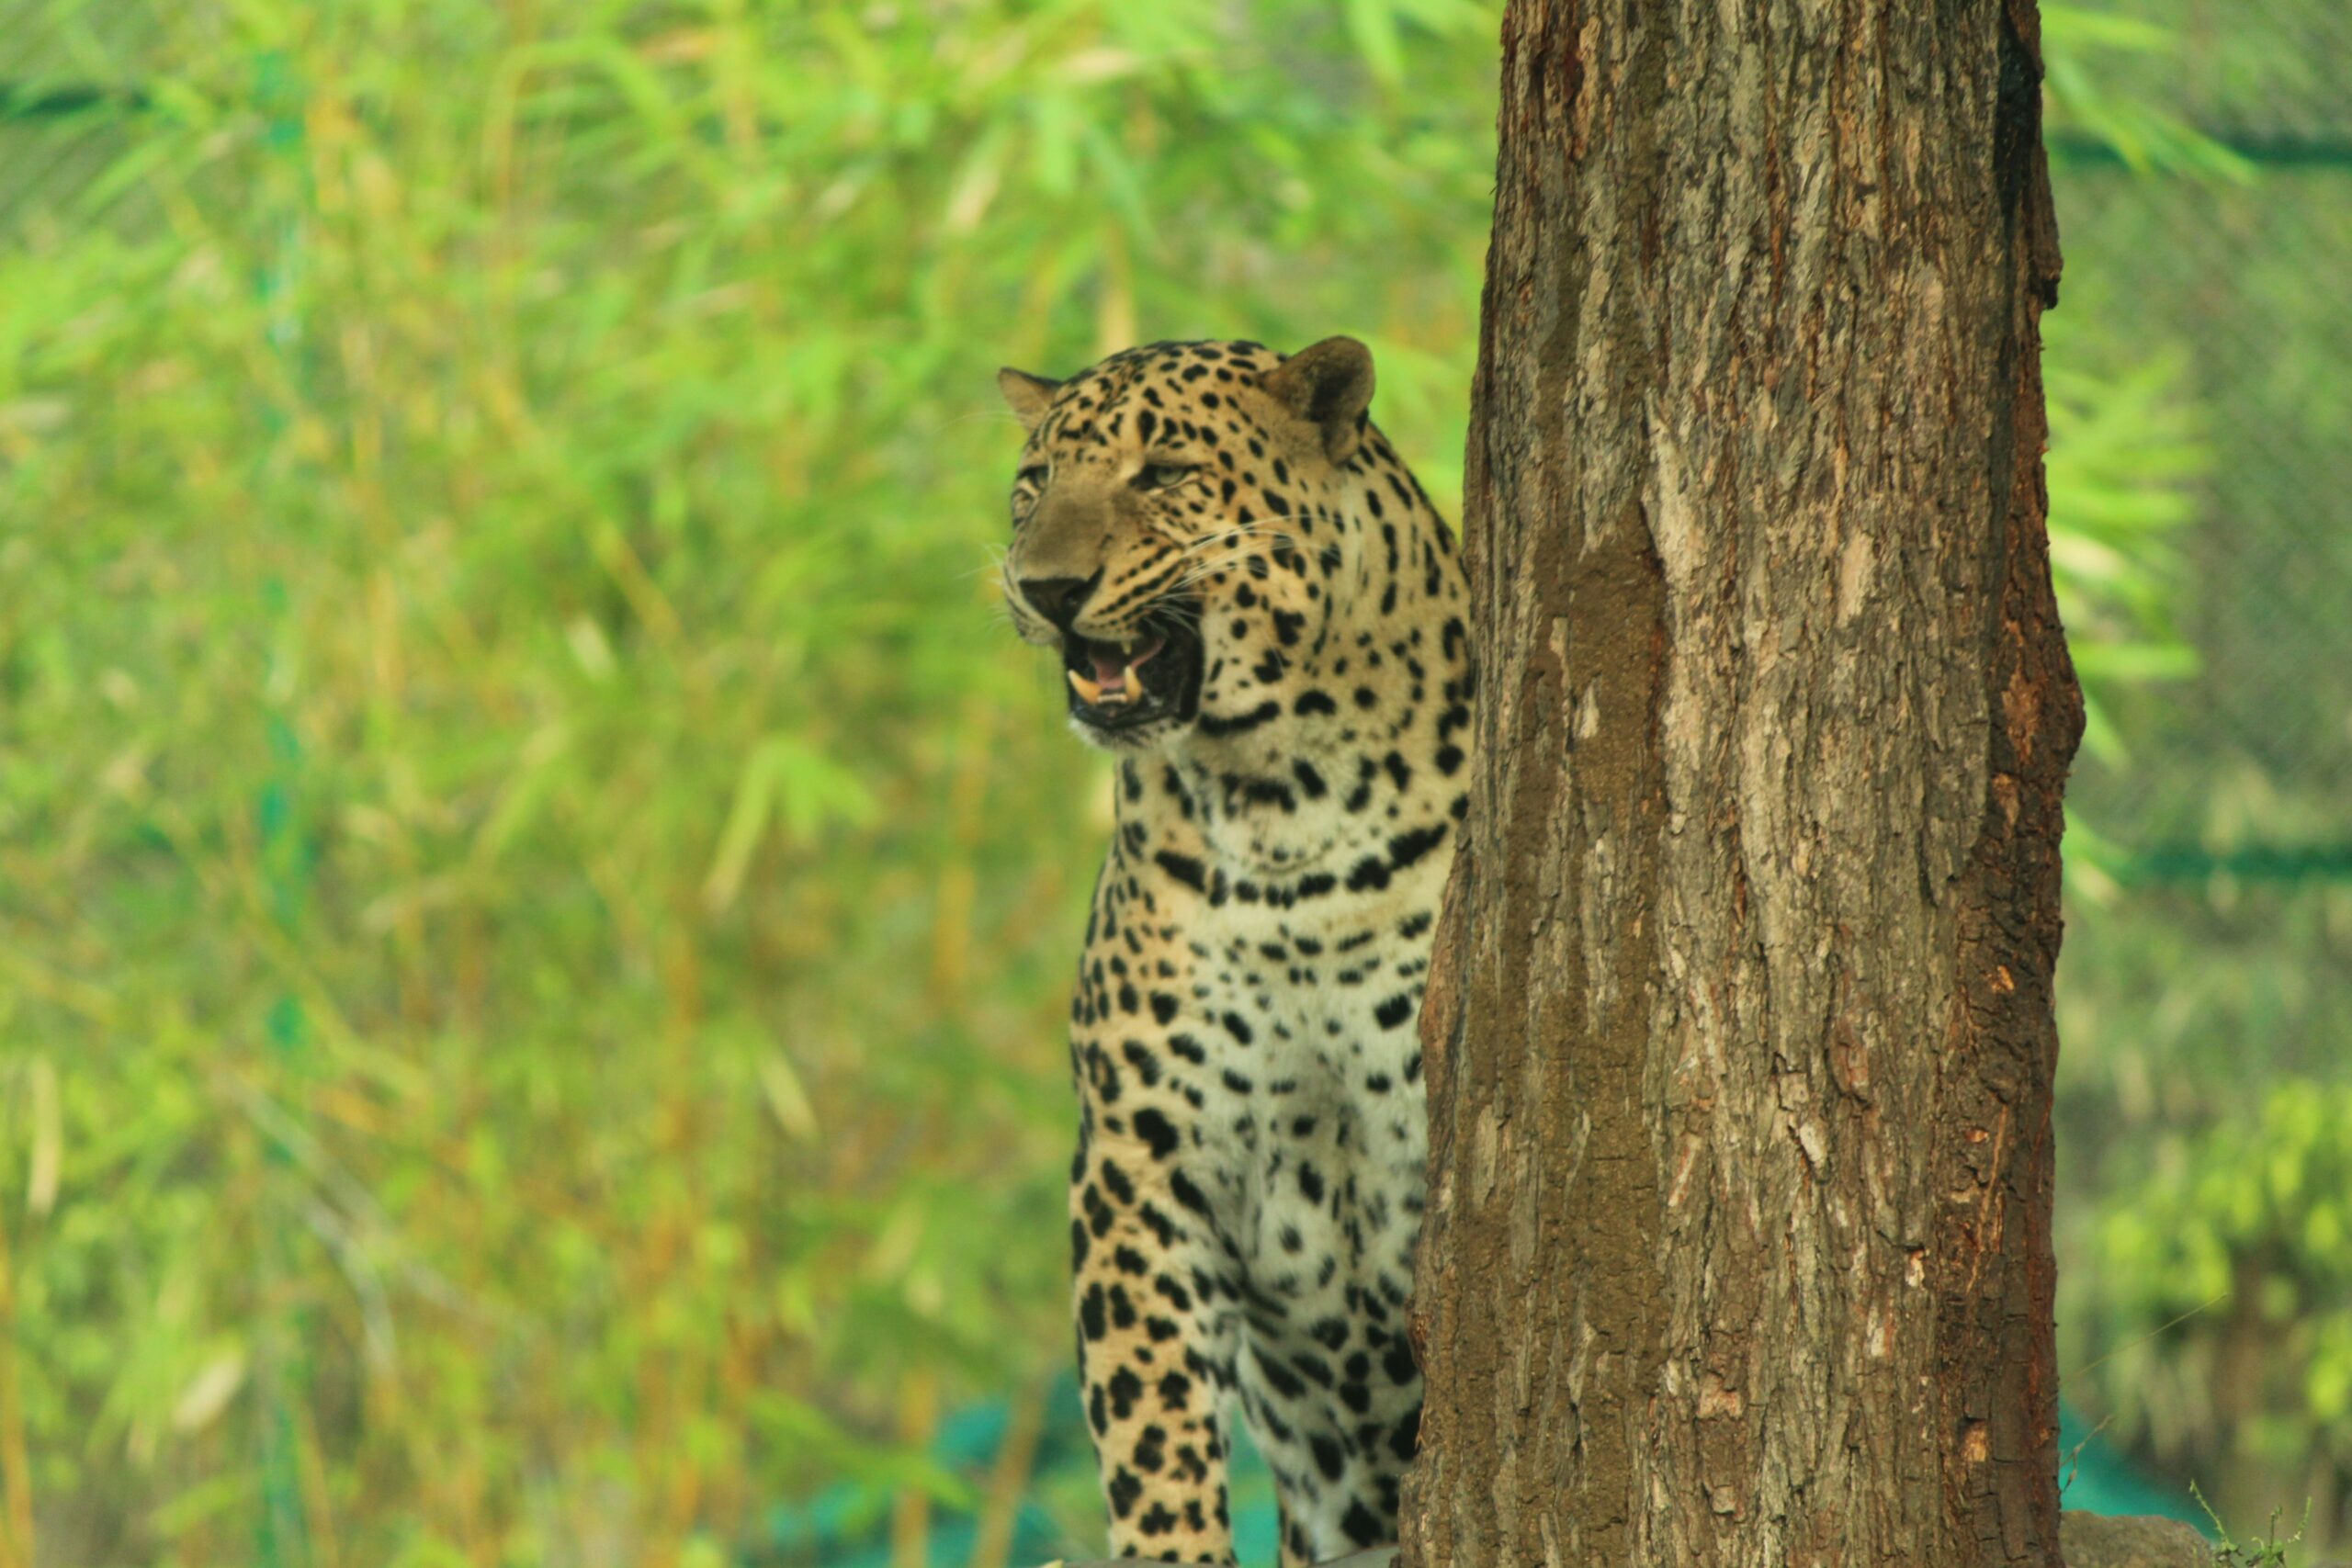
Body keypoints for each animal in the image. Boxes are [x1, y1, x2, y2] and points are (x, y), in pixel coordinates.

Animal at [994, 336, 1472, 1566]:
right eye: (1032, 485)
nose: (1041, 588)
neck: (1284, 805)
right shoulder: (1137, 1161)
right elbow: (1148, 1420)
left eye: (1161, 474)